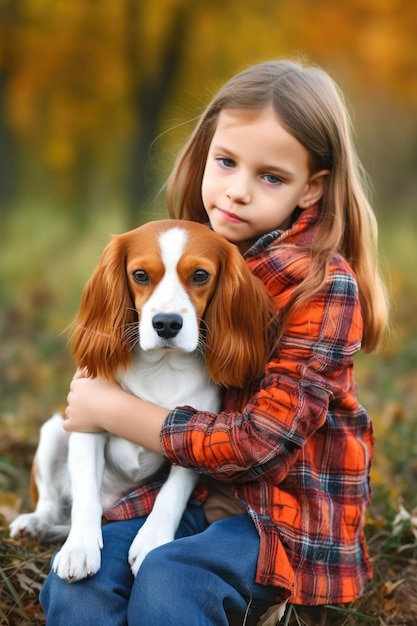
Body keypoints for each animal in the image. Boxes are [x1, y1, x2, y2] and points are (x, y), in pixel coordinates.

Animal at [8, 218, 276, 580]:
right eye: (140, 275)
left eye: (200, 275)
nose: (166, 323)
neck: (162, 367)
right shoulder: (85, 423)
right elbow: (85, 494)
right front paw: (79, 548)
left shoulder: (193, 434)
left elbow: (171, 494)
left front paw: (151, 540)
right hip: (54, 430)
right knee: (52, 502)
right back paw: (35, 523)